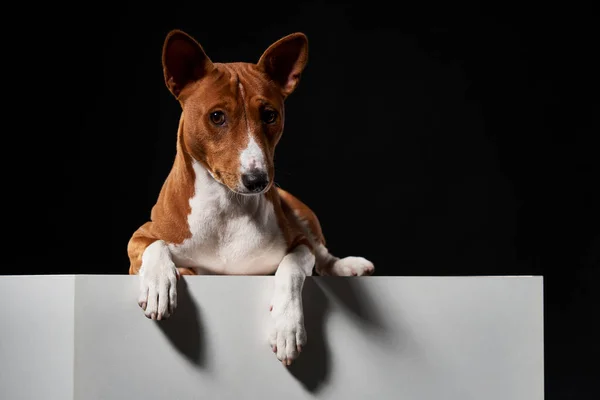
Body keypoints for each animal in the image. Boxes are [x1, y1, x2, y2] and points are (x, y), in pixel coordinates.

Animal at [127, 28, 376, 366]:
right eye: (217, 117)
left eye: (270, 115)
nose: (258, 180)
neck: (227, 207)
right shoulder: (141, 236)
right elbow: (155, 246)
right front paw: (159, 284)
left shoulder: (297, 244)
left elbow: (292, 268)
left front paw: (286, 327)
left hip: (297, 210)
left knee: (323, 255)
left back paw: (347, 266)